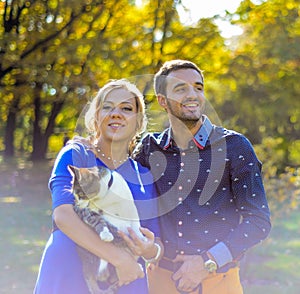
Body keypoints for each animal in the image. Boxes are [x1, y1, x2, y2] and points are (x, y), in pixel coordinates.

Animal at [68, 165, 144, 294]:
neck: (106, 197)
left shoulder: (130, 206)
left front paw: (142, 240)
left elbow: (135, 223)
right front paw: (106, 234)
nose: (76, 204)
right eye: (75, 196)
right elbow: (99, 221)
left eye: (81, 194)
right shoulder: (88, 212)